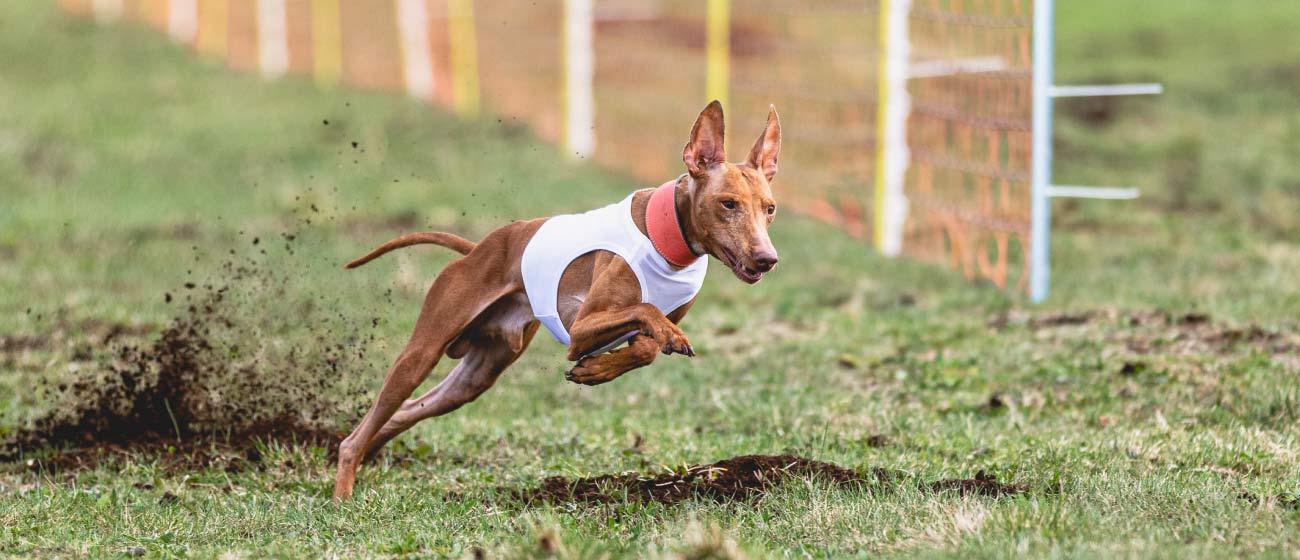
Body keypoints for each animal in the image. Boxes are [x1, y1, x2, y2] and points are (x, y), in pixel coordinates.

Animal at [335, 100, 780, 498]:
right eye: (727, 203)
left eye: (770, 208)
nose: (767, 258)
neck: (666, 237)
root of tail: (476, 249)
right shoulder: (581, 328)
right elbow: (646, 308)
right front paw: (601, 365)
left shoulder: (637, 328)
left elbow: (647, 345)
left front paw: (599, 369)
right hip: (422, 351)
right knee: (357, 435)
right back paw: (344, 492)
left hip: (476, 375)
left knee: (401, 413)